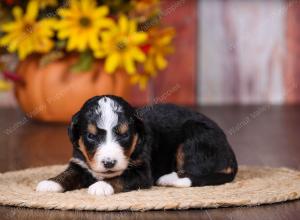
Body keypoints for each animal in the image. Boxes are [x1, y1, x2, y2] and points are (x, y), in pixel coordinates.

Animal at [37, 94, 239, 196]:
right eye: (91, 136)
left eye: (124, 134)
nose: (109, 163)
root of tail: (229, 153)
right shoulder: (79, 163)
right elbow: (68, 174)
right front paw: (50, 183)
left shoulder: (141, 171)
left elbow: (120, 178)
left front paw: (101, 186)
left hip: (194, 135)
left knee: (193, 174)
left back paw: (168, 178)